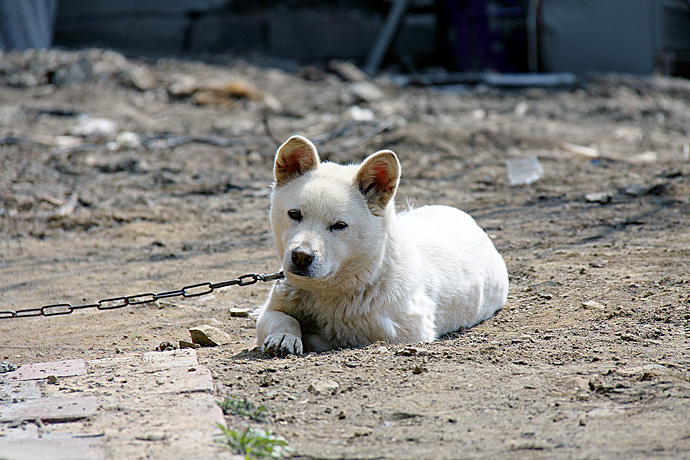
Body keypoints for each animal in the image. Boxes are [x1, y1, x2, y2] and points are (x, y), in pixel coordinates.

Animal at [255, 135, 508, 358]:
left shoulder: (400, 333)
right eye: (294, 214)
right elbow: (283, 318)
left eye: (339, 225)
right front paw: (284, 337)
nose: (301, 256)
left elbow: (326, 337)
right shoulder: (271, 310)